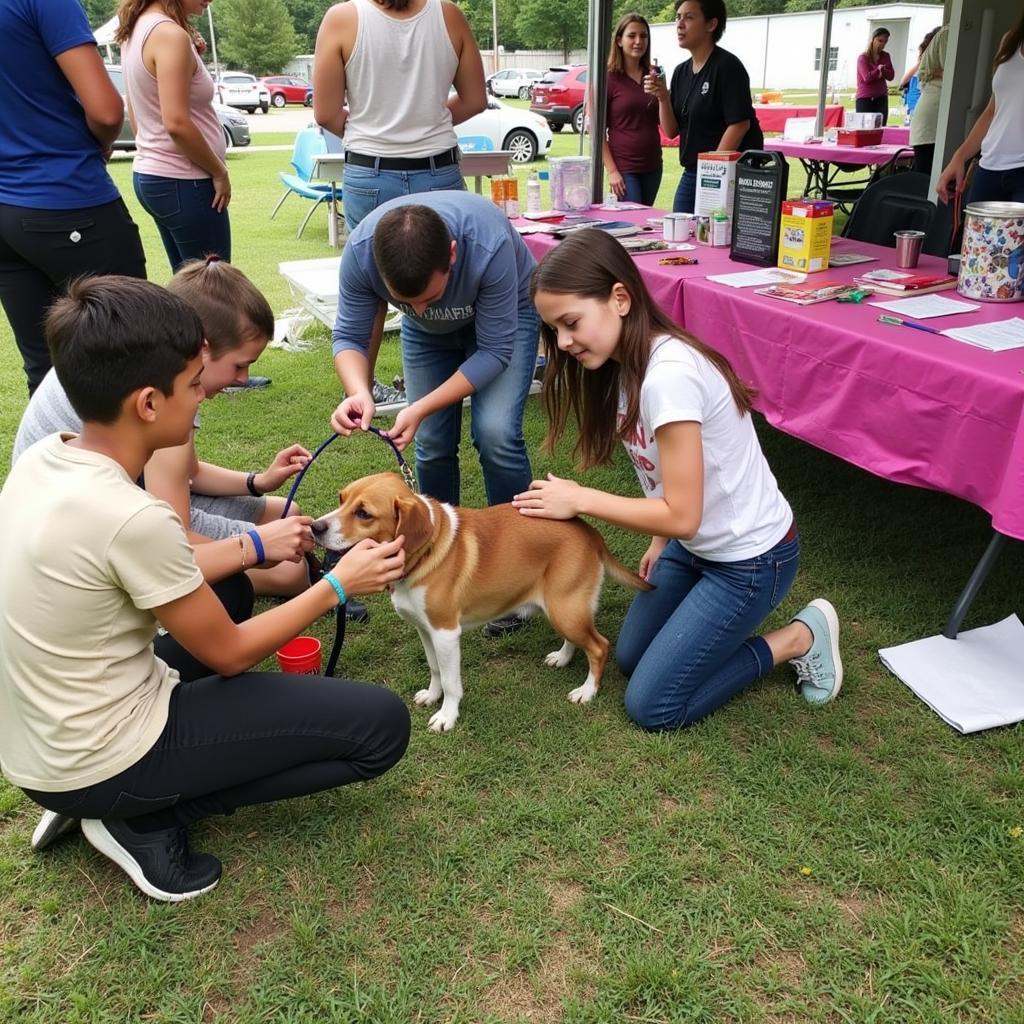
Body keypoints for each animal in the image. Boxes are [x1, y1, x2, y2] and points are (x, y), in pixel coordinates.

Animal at [307, 475, 651, 733]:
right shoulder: (425, 630)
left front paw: (447, 716)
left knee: (599, 646)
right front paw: (432, 696)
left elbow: (451, 681)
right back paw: (563, 658)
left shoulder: (446, 633)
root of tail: (589, 531)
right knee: (580, 640)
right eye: (341, 499)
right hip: (563, 607)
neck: (424, 555)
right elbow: (434, 668)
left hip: (566, 609)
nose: (314, 527)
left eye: (363, 513)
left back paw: (587, 691)